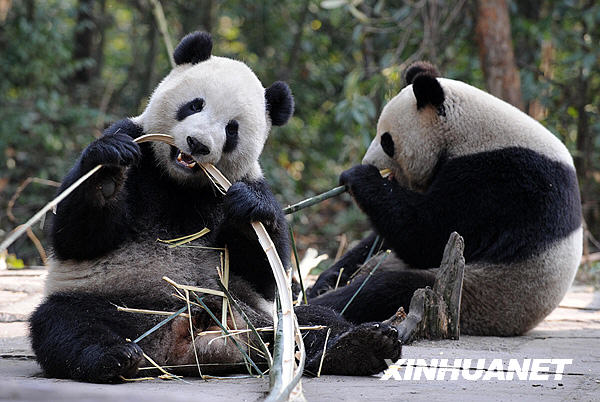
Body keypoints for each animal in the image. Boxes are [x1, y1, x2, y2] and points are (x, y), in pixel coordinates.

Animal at [30, 32, 400, 384]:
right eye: (194, 105)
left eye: (232, 129)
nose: (197, 144)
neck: (179, 183)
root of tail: (179, 348)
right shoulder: (135, 140)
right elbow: (77, 238)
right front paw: (107, 172)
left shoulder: (242, 181)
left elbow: (266, 272)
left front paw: (250, 210)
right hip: (119, 305)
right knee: (67, 323)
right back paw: (114, 357)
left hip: (263, 318)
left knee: (313, 322)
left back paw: (363, 346)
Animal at [310, 60, 580, 336]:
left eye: (387, 141)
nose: (370, 162)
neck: (470, 131)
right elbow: (382, 238)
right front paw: (326, 277)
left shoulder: (502, 181)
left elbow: (429, 235)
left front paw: (358, 176)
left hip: (480, 291)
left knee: (384, 289)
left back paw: (322, 307)